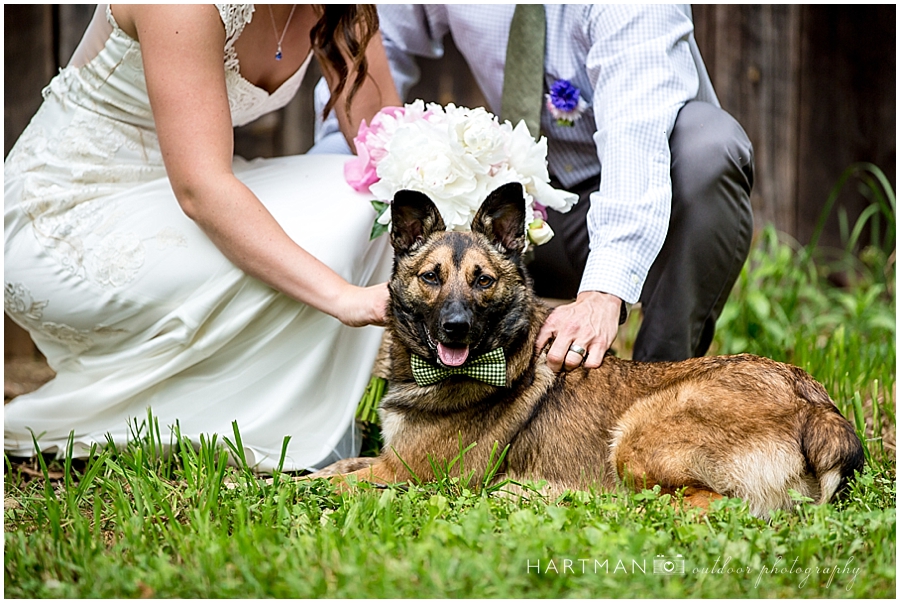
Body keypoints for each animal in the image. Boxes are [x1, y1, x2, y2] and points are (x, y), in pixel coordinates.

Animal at [318, 182, 864, 516]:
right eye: (430, 277)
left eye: (483, 281)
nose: (456, 329)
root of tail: (813, 403)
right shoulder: (386, 462)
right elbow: (332, 468)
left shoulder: (404, 474)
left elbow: (322, 483)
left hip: (637, 433)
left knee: (693, 504)